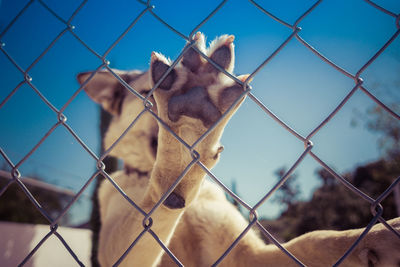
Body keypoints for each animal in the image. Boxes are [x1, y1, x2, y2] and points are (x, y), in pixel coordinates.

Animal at [78, 33, 400, 267]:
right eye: (146, 94)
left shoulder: (244, 255)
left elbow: (315, 238)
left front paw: (380, 234)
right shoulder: (120, 248)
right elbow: (155, 209)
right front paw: (185, 140)